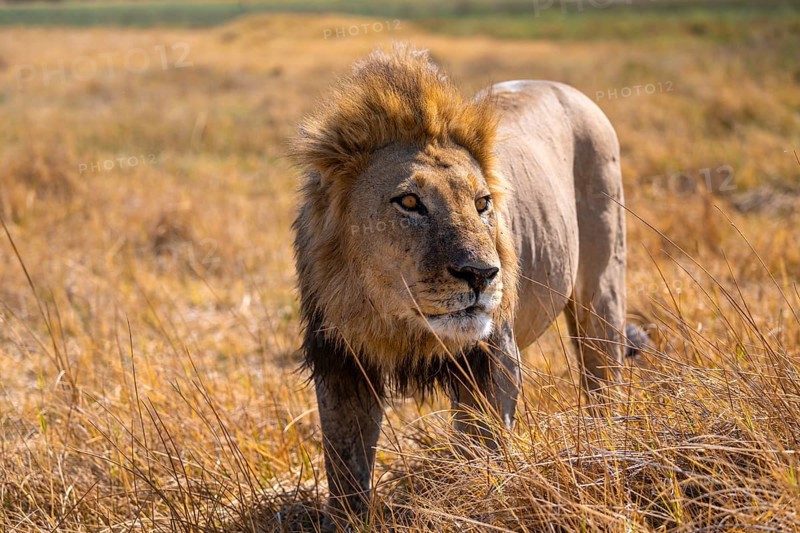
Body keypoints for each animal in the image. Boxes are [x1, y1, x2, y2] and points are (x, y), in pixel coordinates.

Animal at [292, 45, 642, 526]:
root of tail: (569, 91)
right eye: (409, 202)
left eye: (482, 204)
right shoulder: (342, 363)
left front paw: (479, 506)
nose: (482, 273)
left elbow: (484, 453)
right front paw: (347, 522)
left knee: (603, 379)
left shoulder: (491, 358)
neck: (401, 324)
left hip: (602, 293)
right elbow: (345, 471)